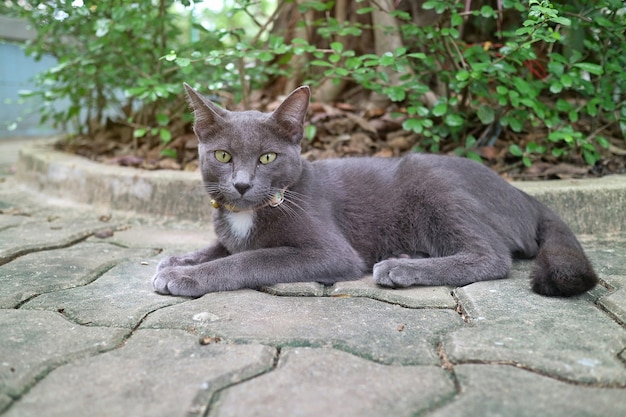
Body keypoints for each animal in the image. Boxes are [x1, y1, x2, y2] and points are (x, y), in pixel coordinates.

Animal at [151, 83, 596, 296]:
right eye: (223, 156)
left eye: (267, 158)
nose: (242, 185)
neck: (249, 213)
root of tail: (526, 195)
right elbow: (223, 247)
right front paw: (178, 259)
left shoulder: (330, 253)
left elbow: (248, 259)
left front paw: (186, 276)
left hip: (429, 177)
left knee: (492, 256)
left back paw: (400, 268)